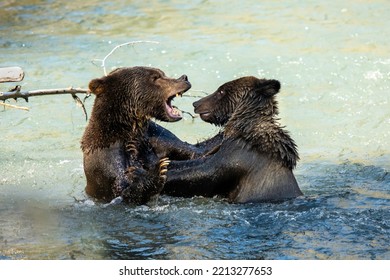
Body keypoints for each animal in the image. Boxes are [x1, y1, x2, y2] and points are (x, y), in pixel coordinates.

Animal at [81, 66, 191, 205]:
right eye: (155, 77)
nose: (184, 78)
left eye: (162, 74)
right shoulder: (106, 157)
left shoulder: (155, 135)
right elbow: (123, 191)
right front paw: (157, 171)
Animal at [163, 76, 304, 203]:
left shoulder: (239, 156)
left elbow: (204, 173)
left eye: (221, 91)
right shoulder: (223, 146)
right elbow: (196, 157)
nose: (196, 103)